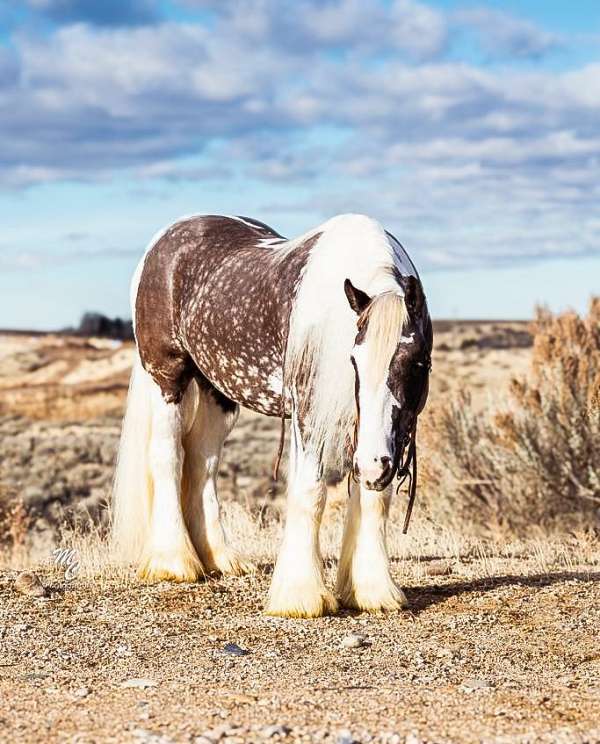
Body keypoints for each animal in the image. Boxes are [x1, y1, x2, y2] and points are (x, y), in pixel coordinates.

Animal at [112, 212, 432, 620]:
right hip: (168, 379)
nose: (374, 465)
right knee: (168, 457)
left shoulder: (385, 434)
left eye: (417, 363)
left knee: (202, 465)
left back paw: (220, 558)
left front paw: (372, 591)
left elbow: (375, 498)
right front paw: (301, 597)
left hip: (218, 394)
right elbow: (310, 493)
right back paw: (175, 562)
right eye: (354, 361)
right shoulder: (307, 412)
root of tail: (165, 239)